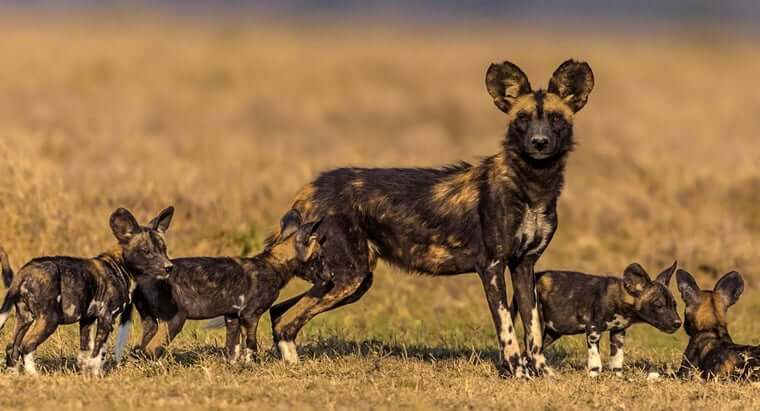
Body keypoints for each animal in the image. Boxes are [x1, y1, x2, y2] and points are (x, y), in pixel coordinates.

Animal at [0, 206, 174, 376]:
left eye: (164, 249)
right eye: (146, 251)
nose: (169, 267)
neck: (119, 265)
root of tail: (24, 272)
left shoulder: (87, 320)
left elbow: (85, 353)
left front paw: (85, 375)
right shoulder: (106, 317)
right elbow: (98, 353)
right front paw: (96, 376)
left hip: (24, 318)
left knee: (12, 348)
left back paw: (13, 376)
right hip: (49, 320)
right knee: (26, 346)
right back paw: (34, 376)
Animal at [117, 211, 326, 362]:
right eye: (319, 258)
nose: (330, 277)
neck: (273, 264)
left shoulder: (232, 316)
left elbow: (233, 348)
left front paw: (233, 367)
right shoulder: (250, 316)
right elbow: (251, 346)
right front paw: (251, 366)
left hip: (151, 323)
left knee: (139, 349)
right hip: (175, 320)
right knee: (150, 350)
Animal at [270, 59, 596, 378]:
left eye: (556, 118)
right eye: (523, 119)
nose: (539, 142)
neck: (532, 186)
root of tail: (311, 188)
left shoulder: (524, 266)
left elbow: (533, 328)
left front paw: (542, 372)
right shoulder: (492, 267)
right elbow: (506, 327)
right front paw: (517, 371)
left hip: (346, 281)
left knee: (278, 313)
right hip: (350, 277)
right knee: (287, 321)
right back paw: (293, 368)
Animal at [512, 262, 680, 378]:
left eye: (674, 305)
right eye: (658, 305)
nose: (678, 323)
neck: (619, 299)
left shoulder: (618, 332)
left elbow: (617, 361)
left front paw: (618, 378)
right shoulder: (593, 330)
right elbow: (595, 361)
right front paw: (594, 377)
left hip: (551, 333)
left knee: (527, 355)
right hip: (538, 327)